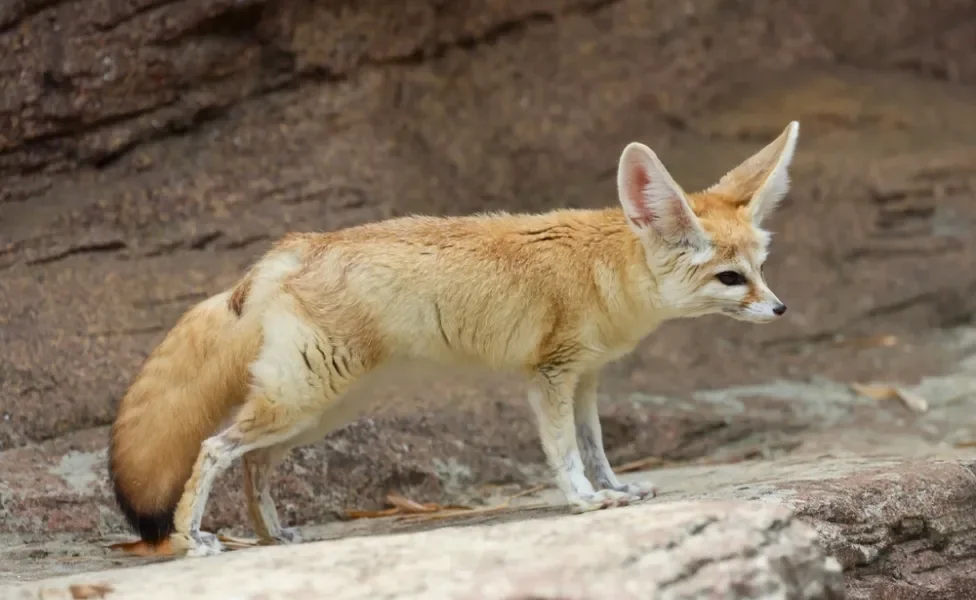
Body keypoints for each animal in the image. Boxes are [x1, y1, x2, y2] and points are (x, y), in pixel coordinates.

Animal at [108, 122, 800, 556]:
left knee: (253, 462)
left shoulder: (586, 379)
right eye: (731, 278)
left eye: (762, 266)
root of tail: (294, 246)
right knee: (213, 448)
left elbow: (596, 447)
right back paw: (193, 539)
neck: (606, 269)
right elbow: (564, 453)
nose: (779, 308)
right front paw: (582, 501)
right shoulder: (550, 375)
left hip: (319, 411)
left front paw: (615, 488)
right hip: (303, 401)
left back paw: (270, 536)